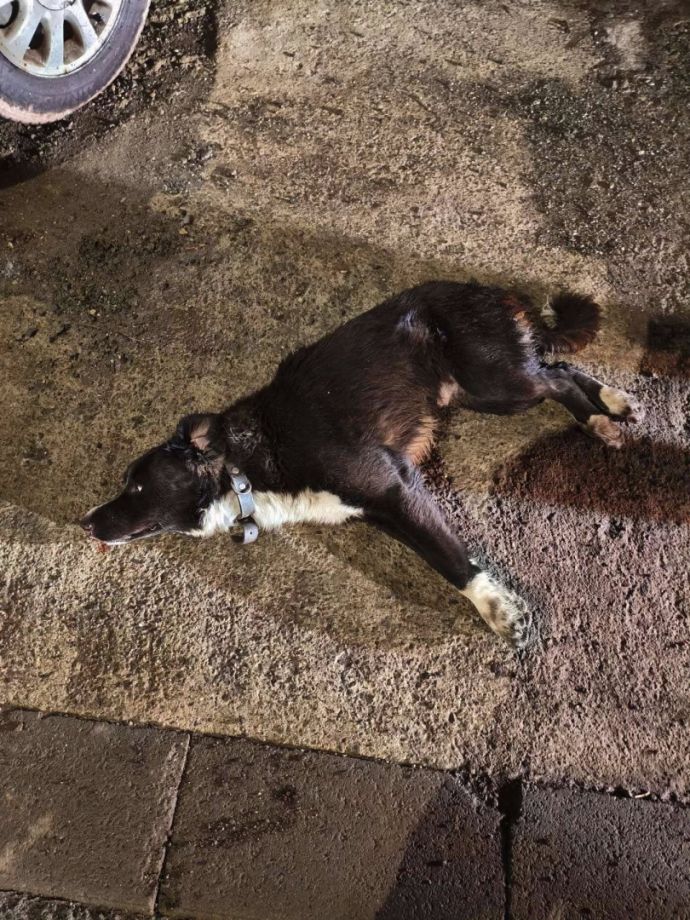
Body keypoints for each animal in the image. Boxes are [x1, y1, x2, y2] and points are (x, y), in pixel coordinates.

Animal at [81, 281, 642, 648]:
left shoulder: (395, 490)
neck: (245, 463)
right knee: (559, 365)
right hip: (488, 390)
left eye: (135, 487)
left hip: (493, 382)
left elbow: (450, 561)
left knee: (557, 379)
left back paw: (600, 420)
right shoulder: (377, 508)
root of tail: (492, 291)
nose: (84, 522)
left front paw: (499, 610)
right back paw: (613, 403)